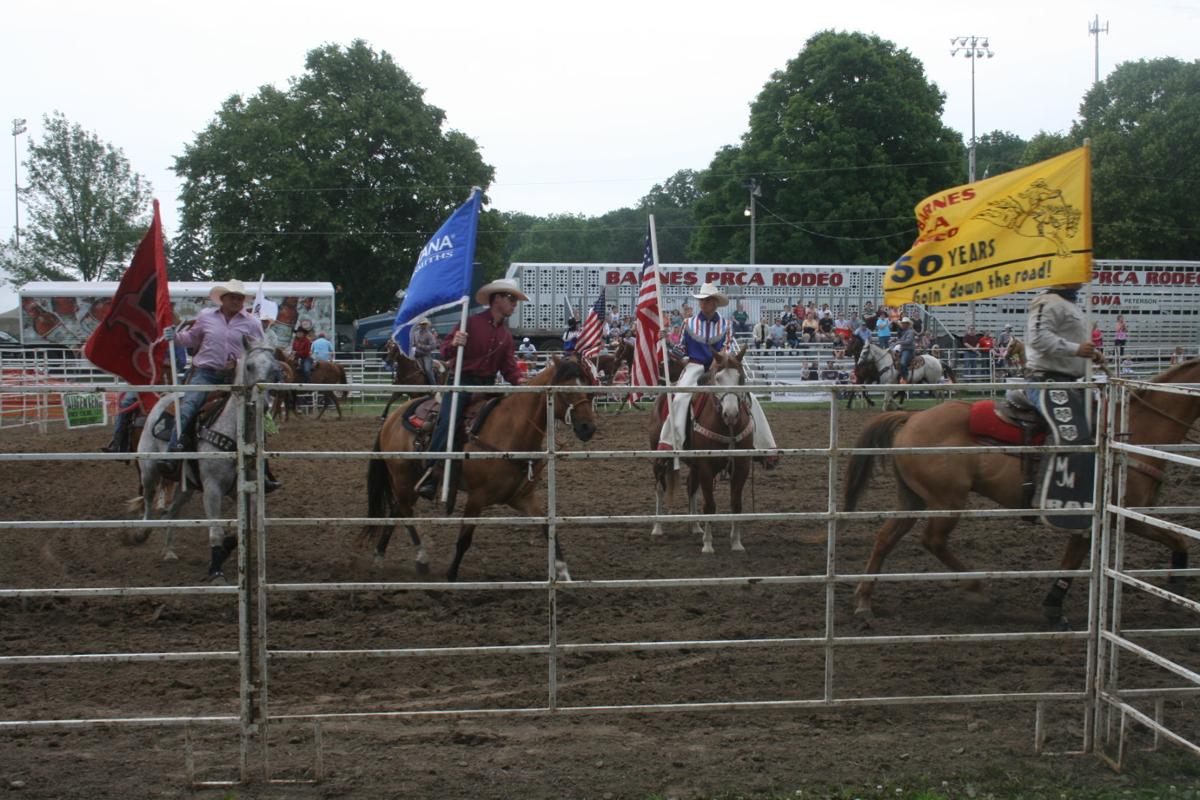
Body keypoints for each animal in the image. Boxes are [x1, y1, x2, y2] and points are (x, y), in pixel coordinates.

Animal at [132, 340, 282, 578]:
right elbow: (216, 531)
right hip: (149, 468)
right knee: (147, 496)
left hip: (187, 487)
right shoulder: (212, 489)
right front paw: (216, 571)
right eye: (249, 366)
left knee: (171, 513)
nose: (264, 403)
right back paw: (142, 532)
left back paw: (169, 551)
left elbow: (246, 527)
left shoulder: (247, 489)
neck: (236, 435)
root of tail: (163, 399)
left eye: (275, 369)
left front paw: (228, 550)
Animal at [357, 357, 597, 582]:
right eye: (566, 389)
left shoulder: (523, 497)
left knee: (397, 509)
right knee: (405, 511)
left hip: (411, 479)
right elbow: (464, 539)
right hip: (402, 476)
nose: (588, 428)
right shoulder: (477, 497)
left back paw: (379, 556)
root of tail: (392, 418)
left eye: (587, 386)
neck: (511, 431)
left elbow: (549, 530)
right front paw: (451, 576)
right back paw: (422, 558)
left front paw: (564, 574)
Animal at [648, 347, 748, 554]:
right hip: (659, 459)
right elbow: (709, 505)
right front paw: (708, 544)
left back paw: (695, 526)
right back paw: (658, 527)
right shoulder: (706, 467)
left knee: (691, 487)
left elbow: (736, 504)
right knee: (660, 488)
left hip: (694, 466)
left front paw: (736, 542)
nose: (731, 414)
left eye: (741, 377)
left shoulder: (742, 467)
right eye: (717, 378)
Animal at [844, 359, 1200, 628]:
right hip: (947, 502)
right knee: (932, 541)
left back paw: (864, 602)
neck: (1129, 433)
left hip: (913, 498)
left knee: (886, 537)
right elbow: (1174, 539)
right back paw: (979, 589)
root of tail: (912, 418)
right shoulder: (1121, 517)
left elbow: (1075, 560)